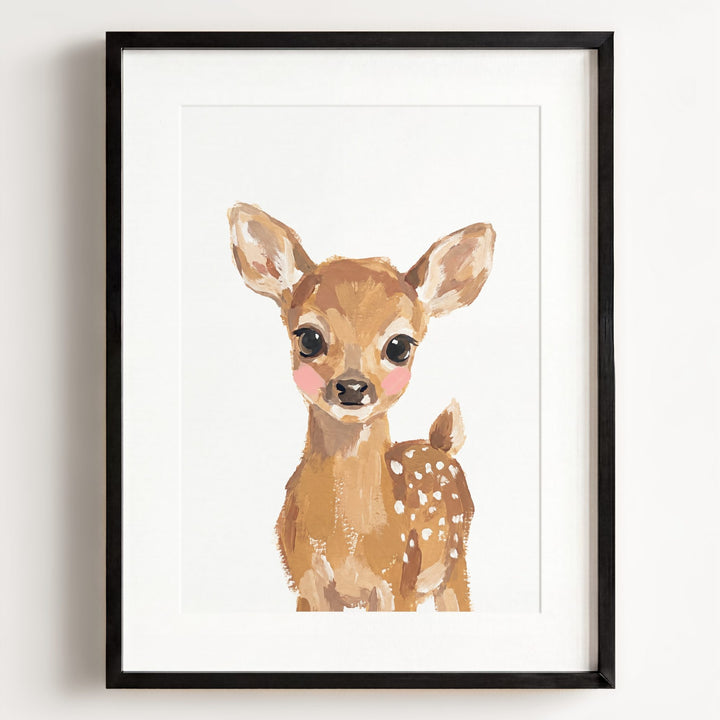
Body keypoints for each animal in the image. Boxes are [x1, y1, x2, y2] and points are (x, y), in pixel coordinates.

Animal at [228, 203, 495, 611]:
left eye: (400, 345)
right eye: (308, 337)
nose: (352, 387)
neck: (348, 541)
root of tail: (440, 445)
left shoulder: (397, 583)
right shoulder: (307, 585)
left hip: (454, 563)